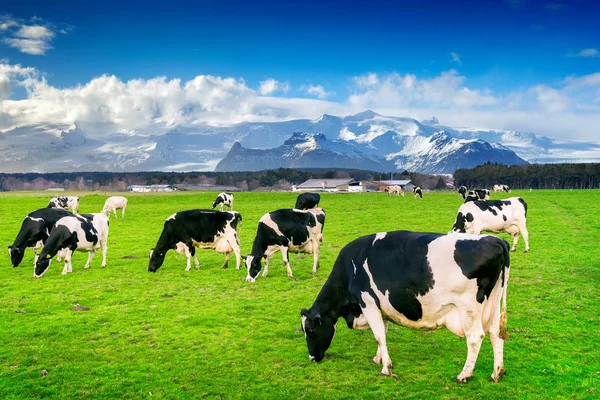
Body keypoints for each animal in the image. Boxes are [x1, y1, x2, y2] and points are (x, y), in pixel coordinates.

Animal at [302, 231, 508, 384]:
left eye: (311, 331)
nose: (312, 357)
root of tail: (495, 239)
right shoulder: (380, 307)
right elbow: (383, 333)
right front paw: (379, 359)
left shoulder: (368, 302)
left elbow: (379, 335)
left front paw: (386, 368)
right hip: (495, 303)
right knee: (495, 334)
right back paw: (496, 373)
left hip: (469, 308)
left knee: (475, 338)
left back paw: (464, 375)